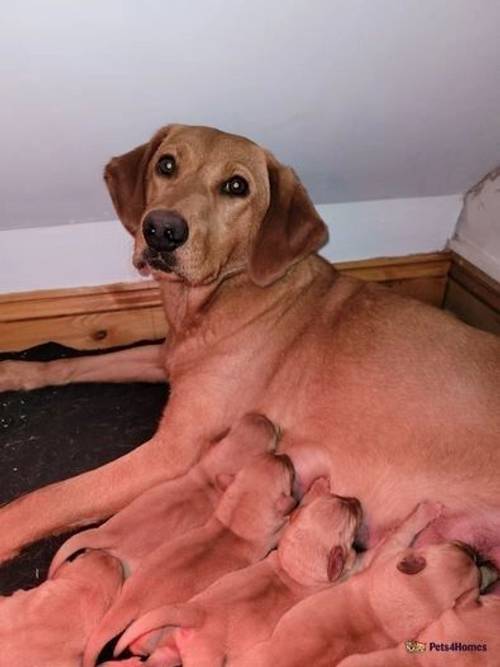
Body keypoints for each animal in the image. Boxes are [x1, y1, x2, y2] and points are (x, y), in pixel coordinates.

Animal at [114, 478, 362, 664]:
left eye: (340, 498)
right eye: (352, 518)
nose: (357, 500)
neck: (291, 570)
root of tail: (197, 612)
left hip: (170, 645)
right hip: (205, 656)